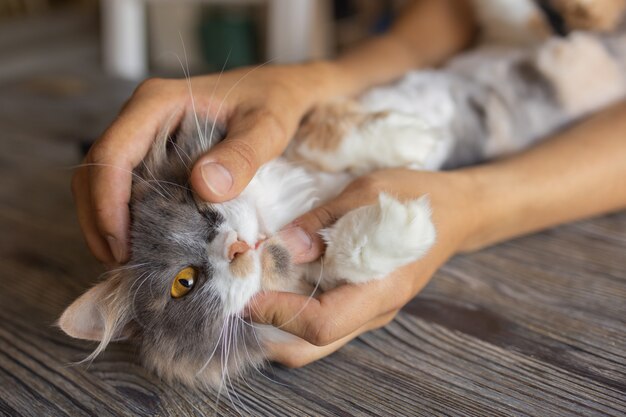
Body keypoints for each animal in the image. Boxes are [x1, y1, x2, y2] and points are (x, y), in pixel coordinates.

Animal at [58, 22, 624, 386]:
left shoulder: (303, 131)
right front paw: (406, 223)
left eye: (202, 208)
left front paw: (415, 141)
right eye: (184, 283)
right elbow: (340, 256)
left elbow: (334, 132)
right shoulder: (314, 269)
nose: (237, 247)